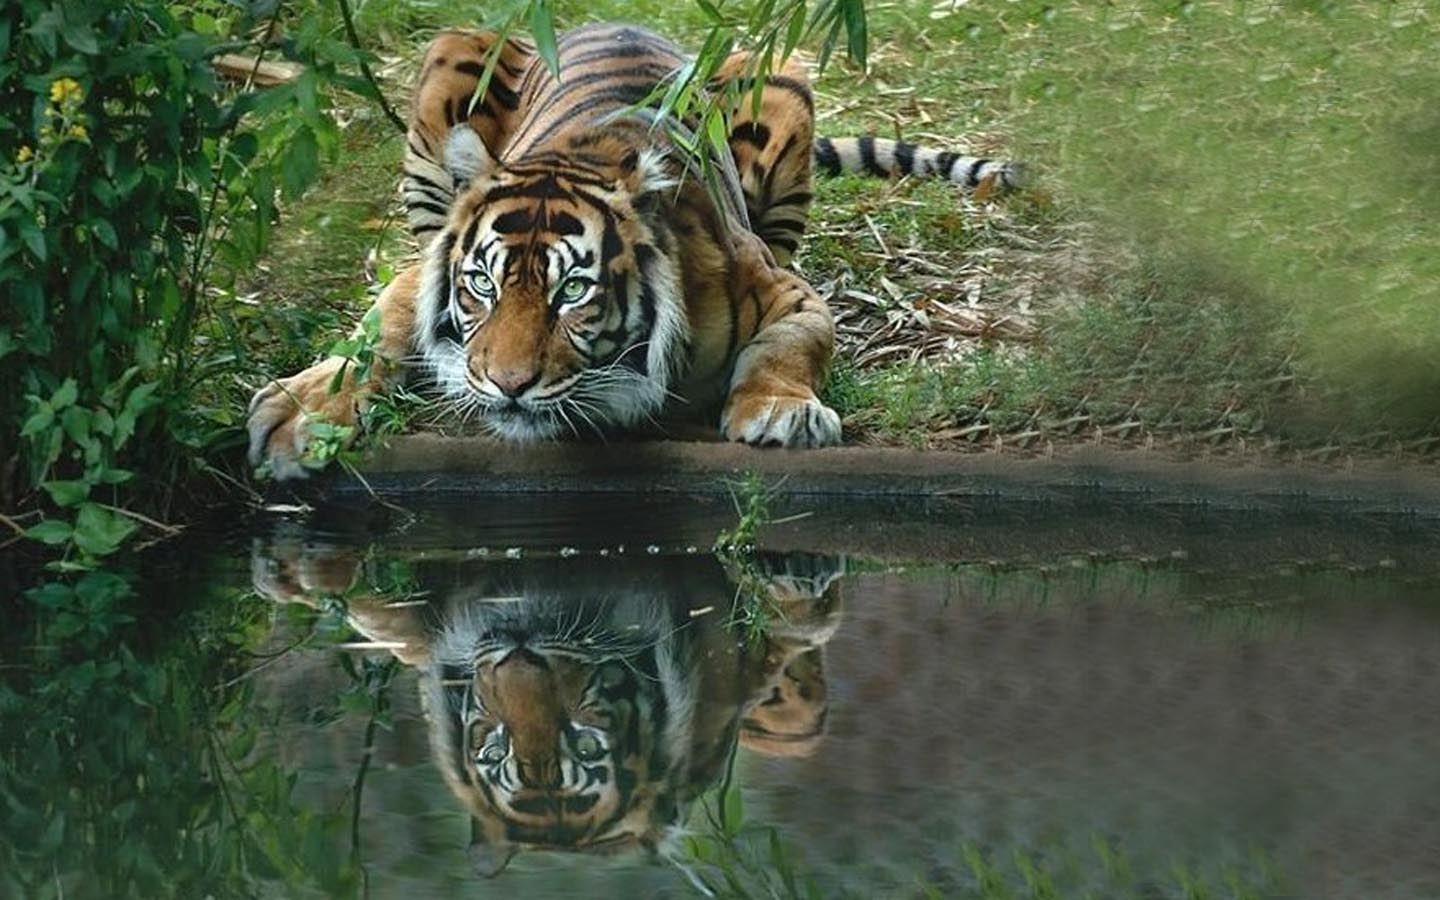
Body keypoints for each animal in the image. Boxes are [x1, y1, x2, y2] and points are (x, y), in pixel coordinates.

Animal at [246, 23, 1020, 479]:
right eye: (482, 285)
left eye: (572, 292)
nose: (506, 385)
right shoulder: (423, 267)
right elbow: (375, 331)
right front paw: (299, 414)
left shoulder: (788, 293)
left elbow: (790, 345)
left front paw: (778, 411)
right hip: (452, 51)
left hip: (778, 72)